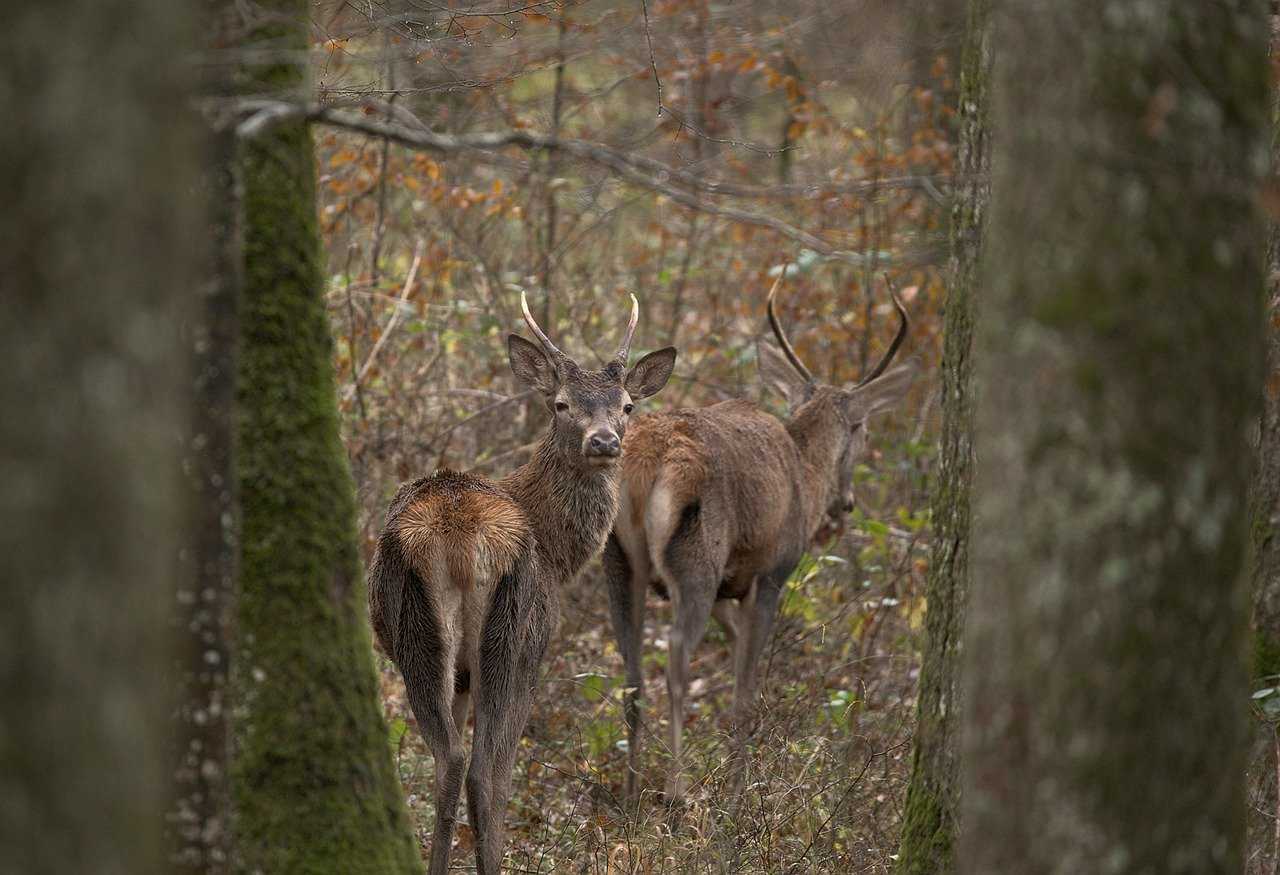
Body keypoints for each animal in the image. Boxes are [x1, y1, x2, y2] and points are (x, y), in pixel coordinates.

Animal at [366, 295, 675, 875]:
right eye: (561, 404)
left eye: (627, 406)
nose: (604, 441)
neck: (558, 554)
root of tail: (461, 539)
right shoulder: (535, 644)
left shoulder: (464, 677)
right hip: (507, 637)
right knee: (482, 768)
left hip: (439, 644)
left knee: (451, 760)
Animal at [599, 273, 911, 798]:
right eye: (863, 428)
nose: (846, 502)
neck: (806, 473)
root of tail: (648, 460)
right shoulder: (771, 572)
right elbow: (745, 686)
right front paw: (740, 784)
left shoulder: (732, 584)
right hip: (695, 556)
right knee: (676, 657)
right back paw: (677, 790)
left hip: (617, 560)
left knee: (632, 670)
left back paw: (628, 791)